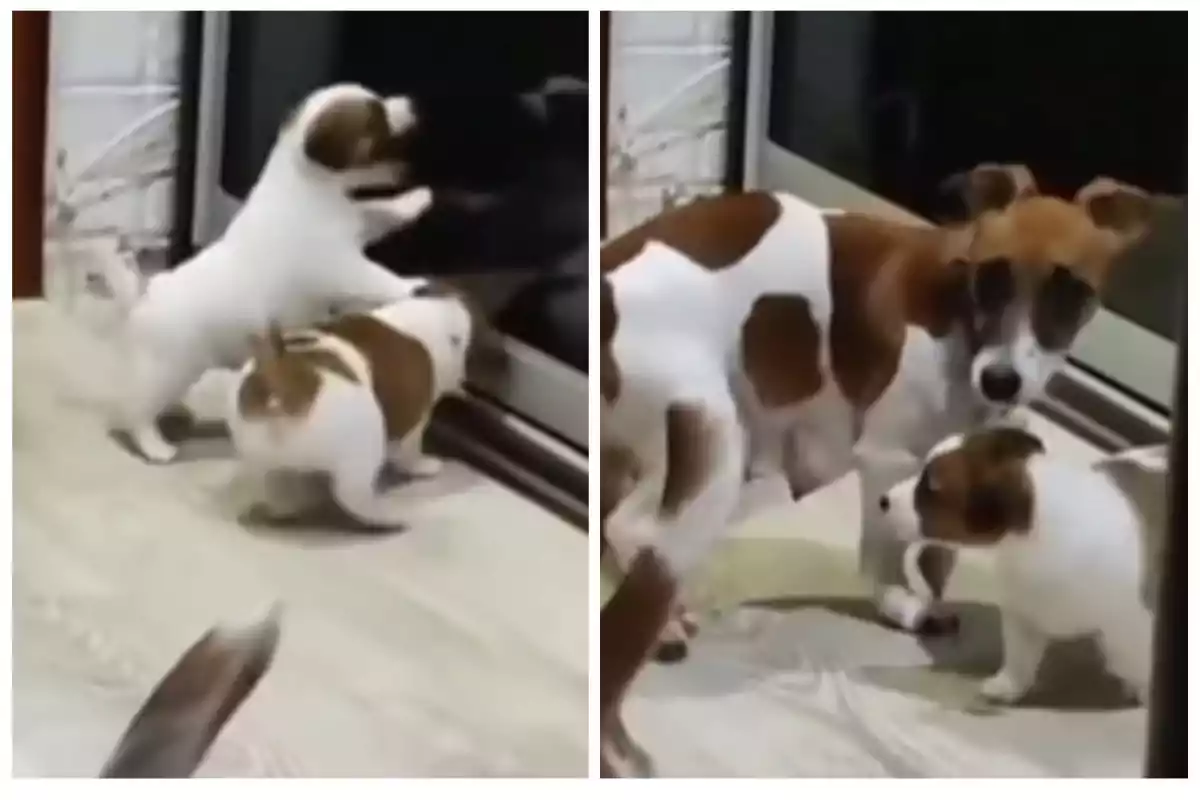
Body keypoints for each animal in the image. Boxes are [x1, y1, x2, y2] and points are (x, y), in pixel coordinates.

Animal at [223, 283, 475, 532]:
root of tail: (281, 382)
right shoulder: (413, 422)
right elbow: (409, 452)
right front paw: (423, 466)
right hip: (361, 455)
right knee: (352, 498)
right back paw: (392, 517)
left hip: (258, 457)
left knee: (276, 491)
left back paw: (284, 507)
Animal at [883, 429, 1152, 705]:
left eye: (931, 487)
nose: (884, 500)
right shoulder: (1024, 617)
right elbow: (1019, 658)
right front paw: (1008, 685)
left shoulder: (1131, 622)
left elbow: (1134, 659)